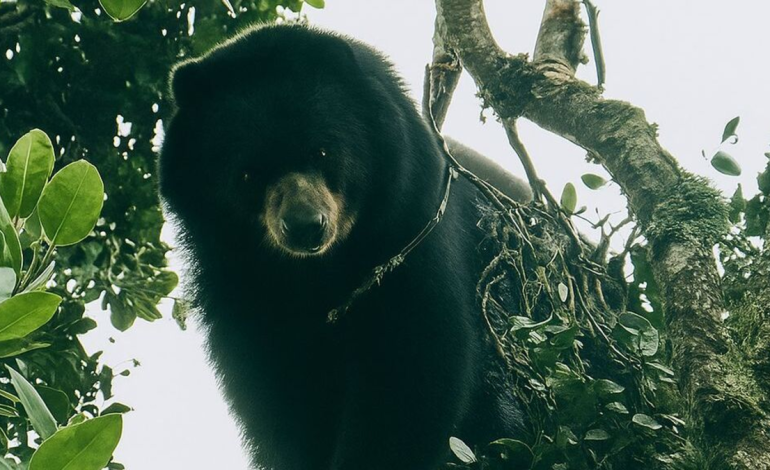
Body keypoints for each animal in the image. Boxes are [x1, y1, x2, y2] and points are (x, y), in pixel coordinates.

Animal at [159, 24, 528, 470]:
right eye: (247, 174)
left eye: (321, 150)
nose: (305, 226)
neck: (318, 271)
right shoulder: (238, 292)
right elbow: (275, 395)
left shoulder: (412, 234)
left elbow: (416, 367)